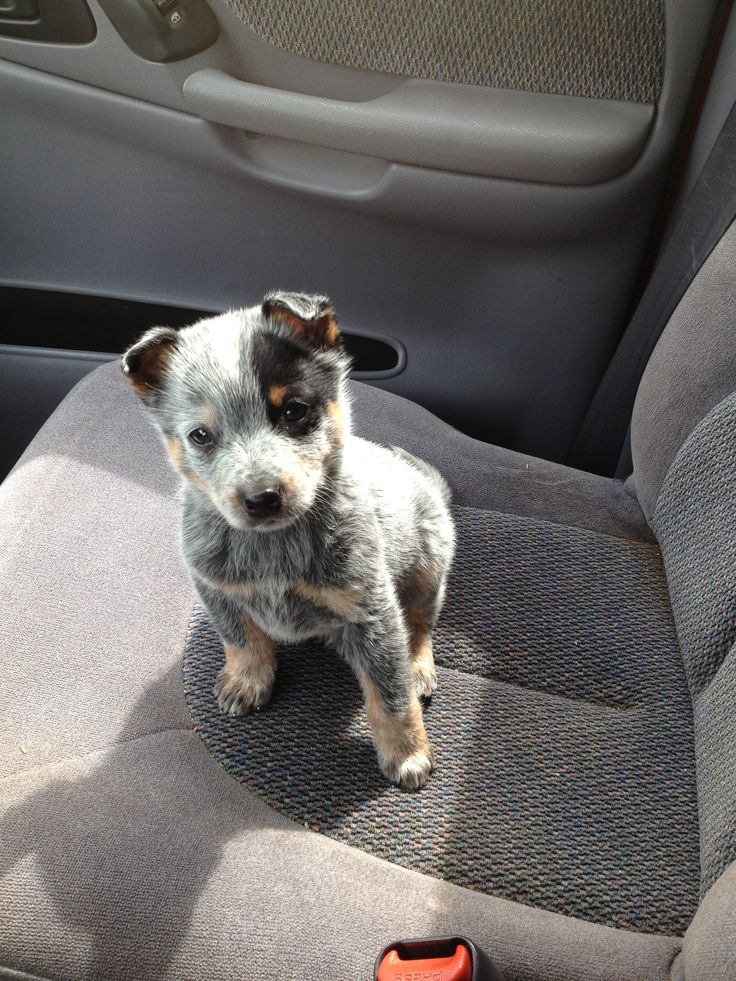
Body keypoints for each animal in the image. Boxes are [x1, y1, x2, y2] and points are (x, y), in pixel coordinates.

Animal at [122, 290, 454, 788]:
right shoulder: (215, 588)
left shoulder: (371, 609)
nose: (261, 498)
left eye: (294, 410)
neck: (273, 549)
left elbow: (389, 693)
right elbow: (241, 639)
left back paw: (418, 665)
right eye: (200, 435)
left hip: (428, 563)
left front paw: (407, 752)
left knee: (417, 623)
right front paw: (247, 680)